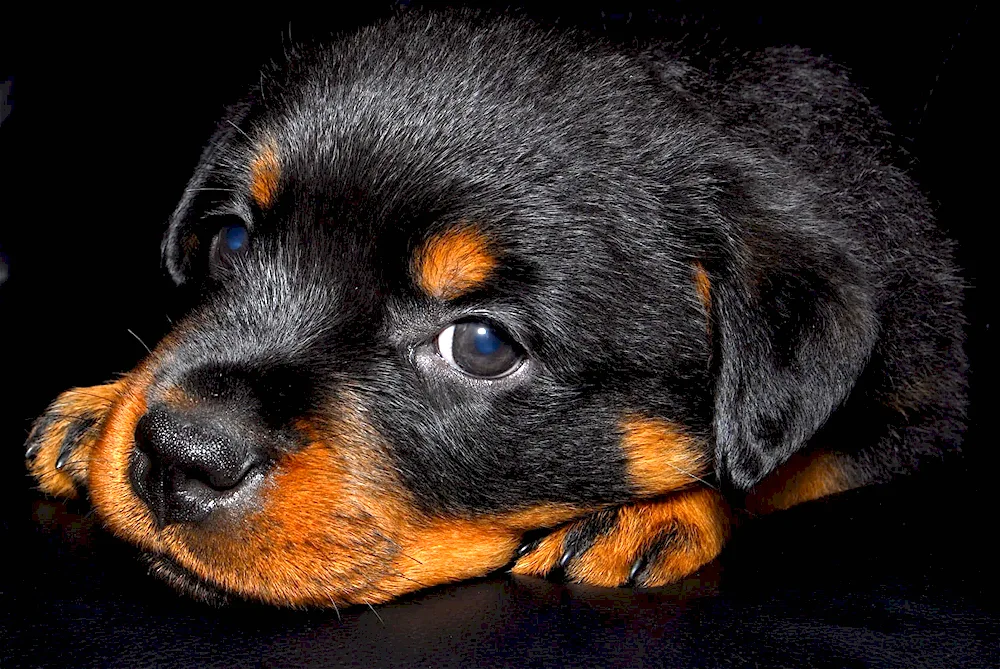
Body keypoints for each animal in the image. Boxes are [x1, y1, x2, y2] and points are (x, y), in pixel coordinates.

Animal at [27, 11, 968, 604]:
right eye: (228, 241)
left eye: (479, 345)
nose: (180, 452)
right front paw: (99, 406)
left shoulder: (926, 412)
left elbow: (785, 471)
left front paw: (655, 509)